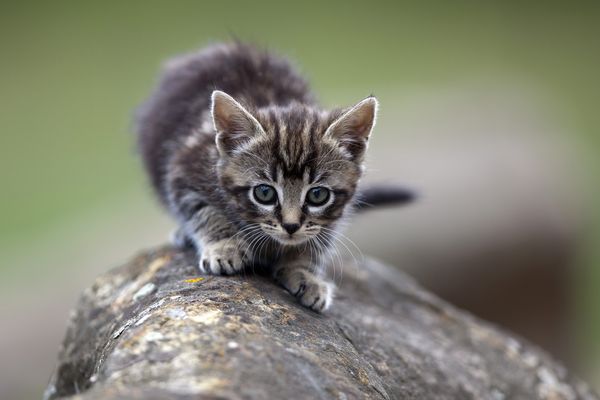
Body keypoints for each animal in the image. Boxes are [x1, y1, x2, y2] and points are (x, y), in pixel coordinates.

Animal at [136, 43, 412, 312]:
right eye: (264, 193)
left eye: (318, 195)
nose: (290, 226)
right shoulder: (183, 166)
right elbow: (203, 209)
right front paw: (225, 245)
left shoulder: (332, 218)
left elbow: (316, 239)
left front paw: (304, 273)